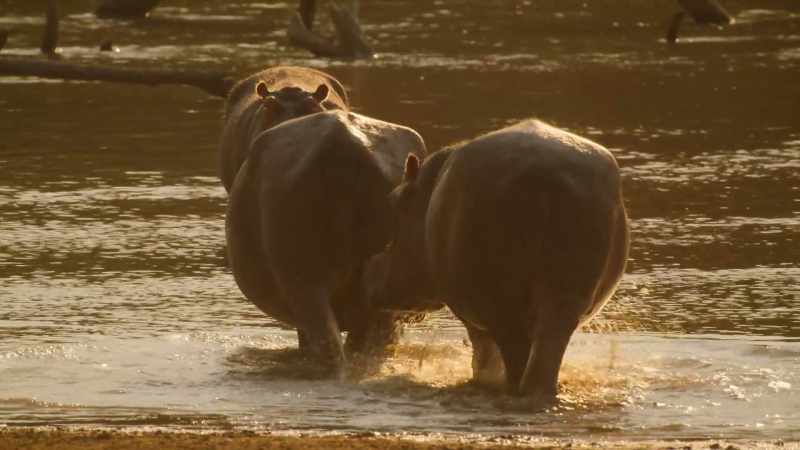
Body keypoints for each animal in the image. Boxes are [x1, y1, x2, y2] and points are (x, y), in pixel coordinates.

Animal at [363, 119, 629, 406]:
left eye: (395, 201)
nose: (369, 268)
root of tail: (545, 176)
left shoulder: (474, 317)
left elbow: (483, 358)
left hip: (504, 307)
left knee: (516, 361)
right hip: (565, 300)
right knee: (545, 358)